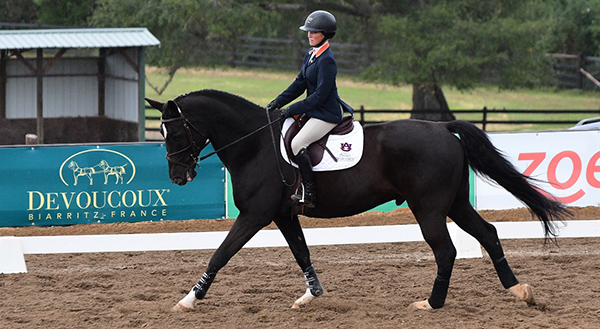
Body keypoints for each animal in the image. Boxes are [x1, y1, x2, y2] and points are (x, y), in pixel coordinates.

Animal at [148, 89, 568, 310]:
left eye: (176, 133)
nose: (178, 177)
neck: (254, 144)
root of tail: (442, 128)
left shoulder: (255, 214)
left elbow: (220, 253)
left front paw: (188, 299)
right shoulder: (283, 214)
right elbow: (301, 252)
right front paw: (311, 295)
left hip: (429, 206)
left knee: (446, 249)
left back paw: (431, 303)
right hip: (455, 203)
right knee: (488, 233)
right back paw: (518, 290)